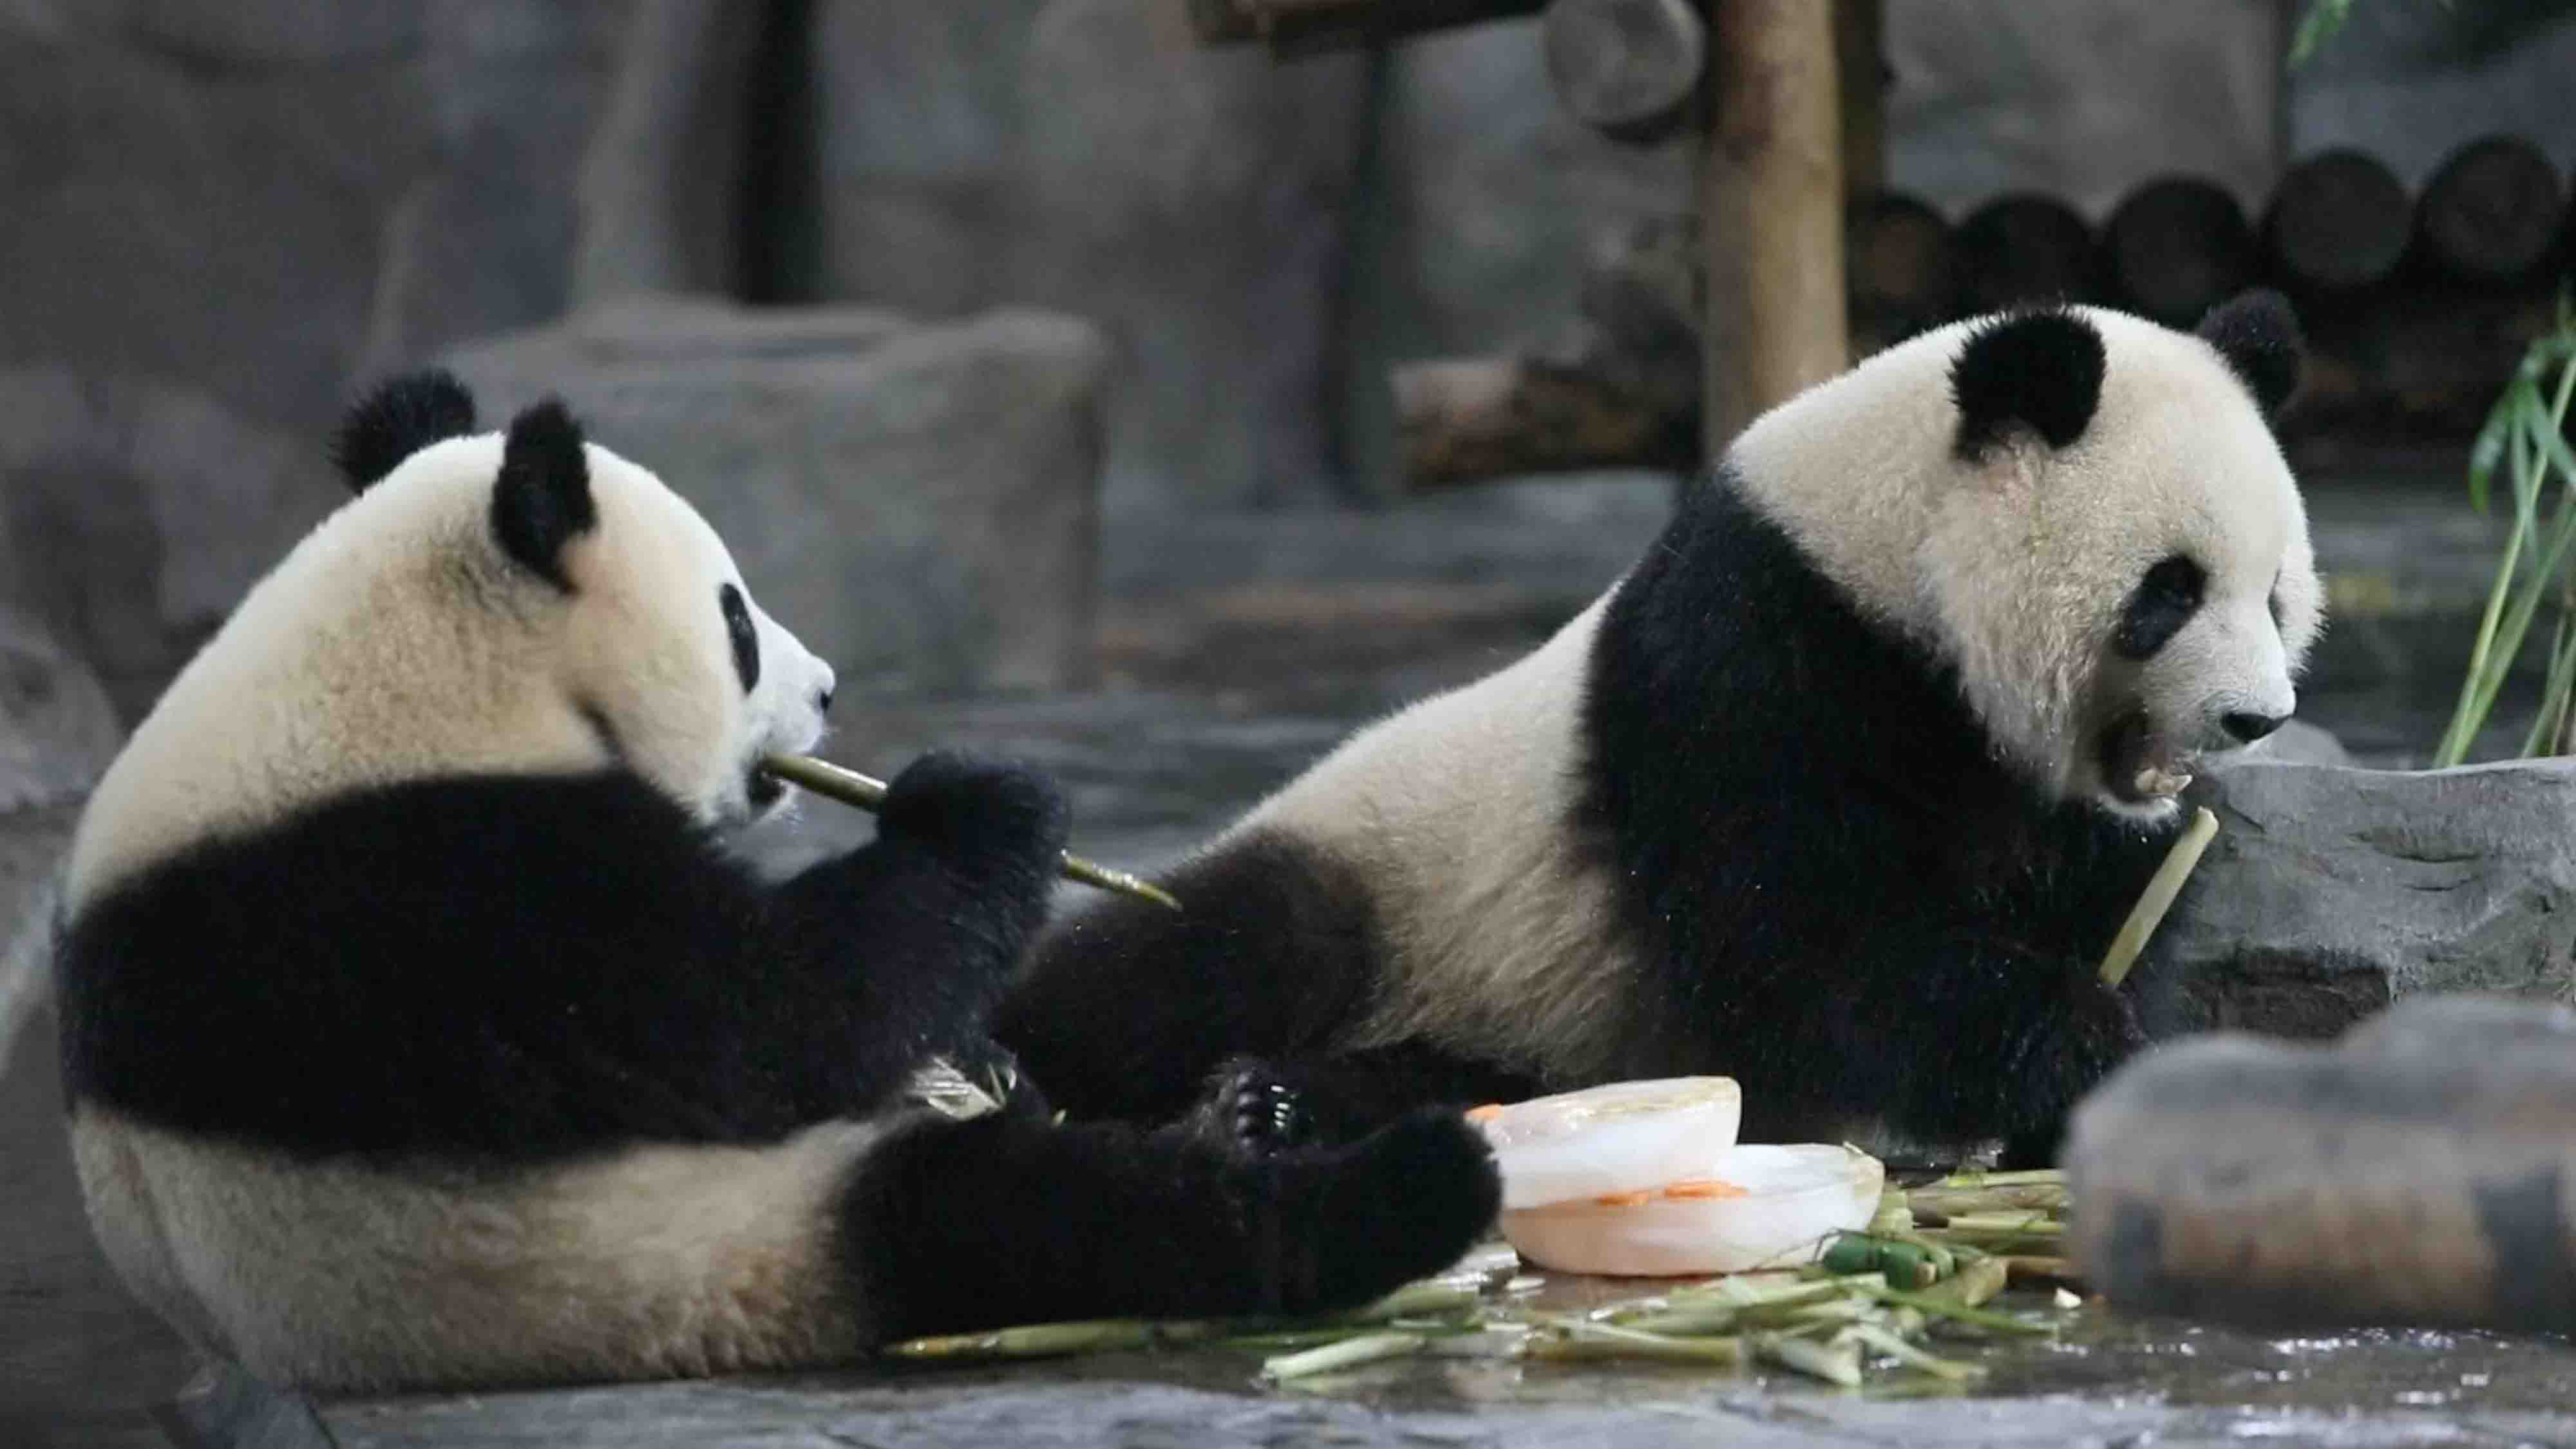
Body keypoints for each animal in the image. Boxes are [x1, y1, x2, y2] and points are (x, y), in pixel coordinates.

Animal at [40, 371, 1504, 1392]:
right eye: (736, 620)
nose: (829, 690)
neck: (386, 684)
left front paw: (988, 1038)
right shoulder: (434, 892)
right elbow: (758, 1019)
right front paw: (981, 807)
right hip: (690, 1254)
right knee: (1031, 1219)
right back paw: (1407, 1186)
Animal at [1010, 290, 2339, 1160]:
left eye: (2275, 594)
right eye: (2169, 592)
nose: (2256, 717)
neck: (1892, 569)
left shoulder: (2083, 821)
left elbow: (2109, 906)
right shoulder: (1755, 659)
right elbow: (1800, 950)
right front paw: (2068, 1035)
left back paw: (1275, 1107)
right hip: (1395, 878)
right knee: (1199, 958)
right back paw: (1039, 1071)